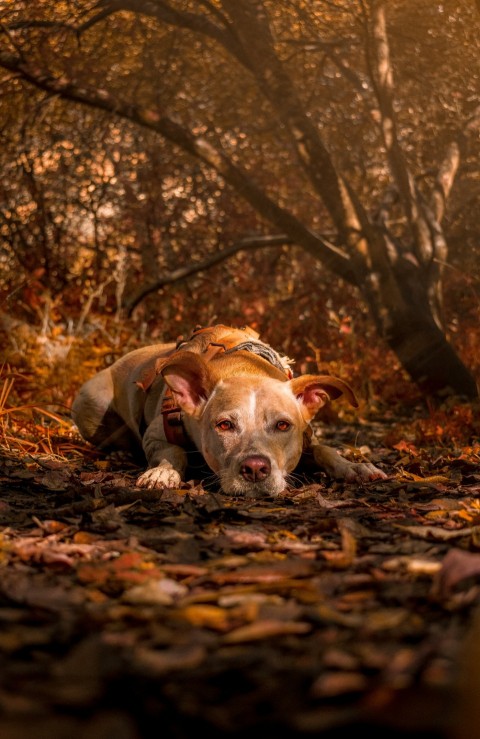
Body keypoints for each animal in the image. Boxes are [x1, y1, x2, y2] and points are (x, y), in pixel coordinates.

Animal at [72, 326, 386, 494]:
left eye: (283, 425)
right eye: (224, 425)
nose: (255, 469)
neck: (245, 367)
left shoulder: (305, 439)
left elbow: (324, 449)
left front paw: (354, 467)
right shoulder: (156, 436)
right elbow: (173, 452)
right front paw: (162, 473)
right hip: (89, 403)